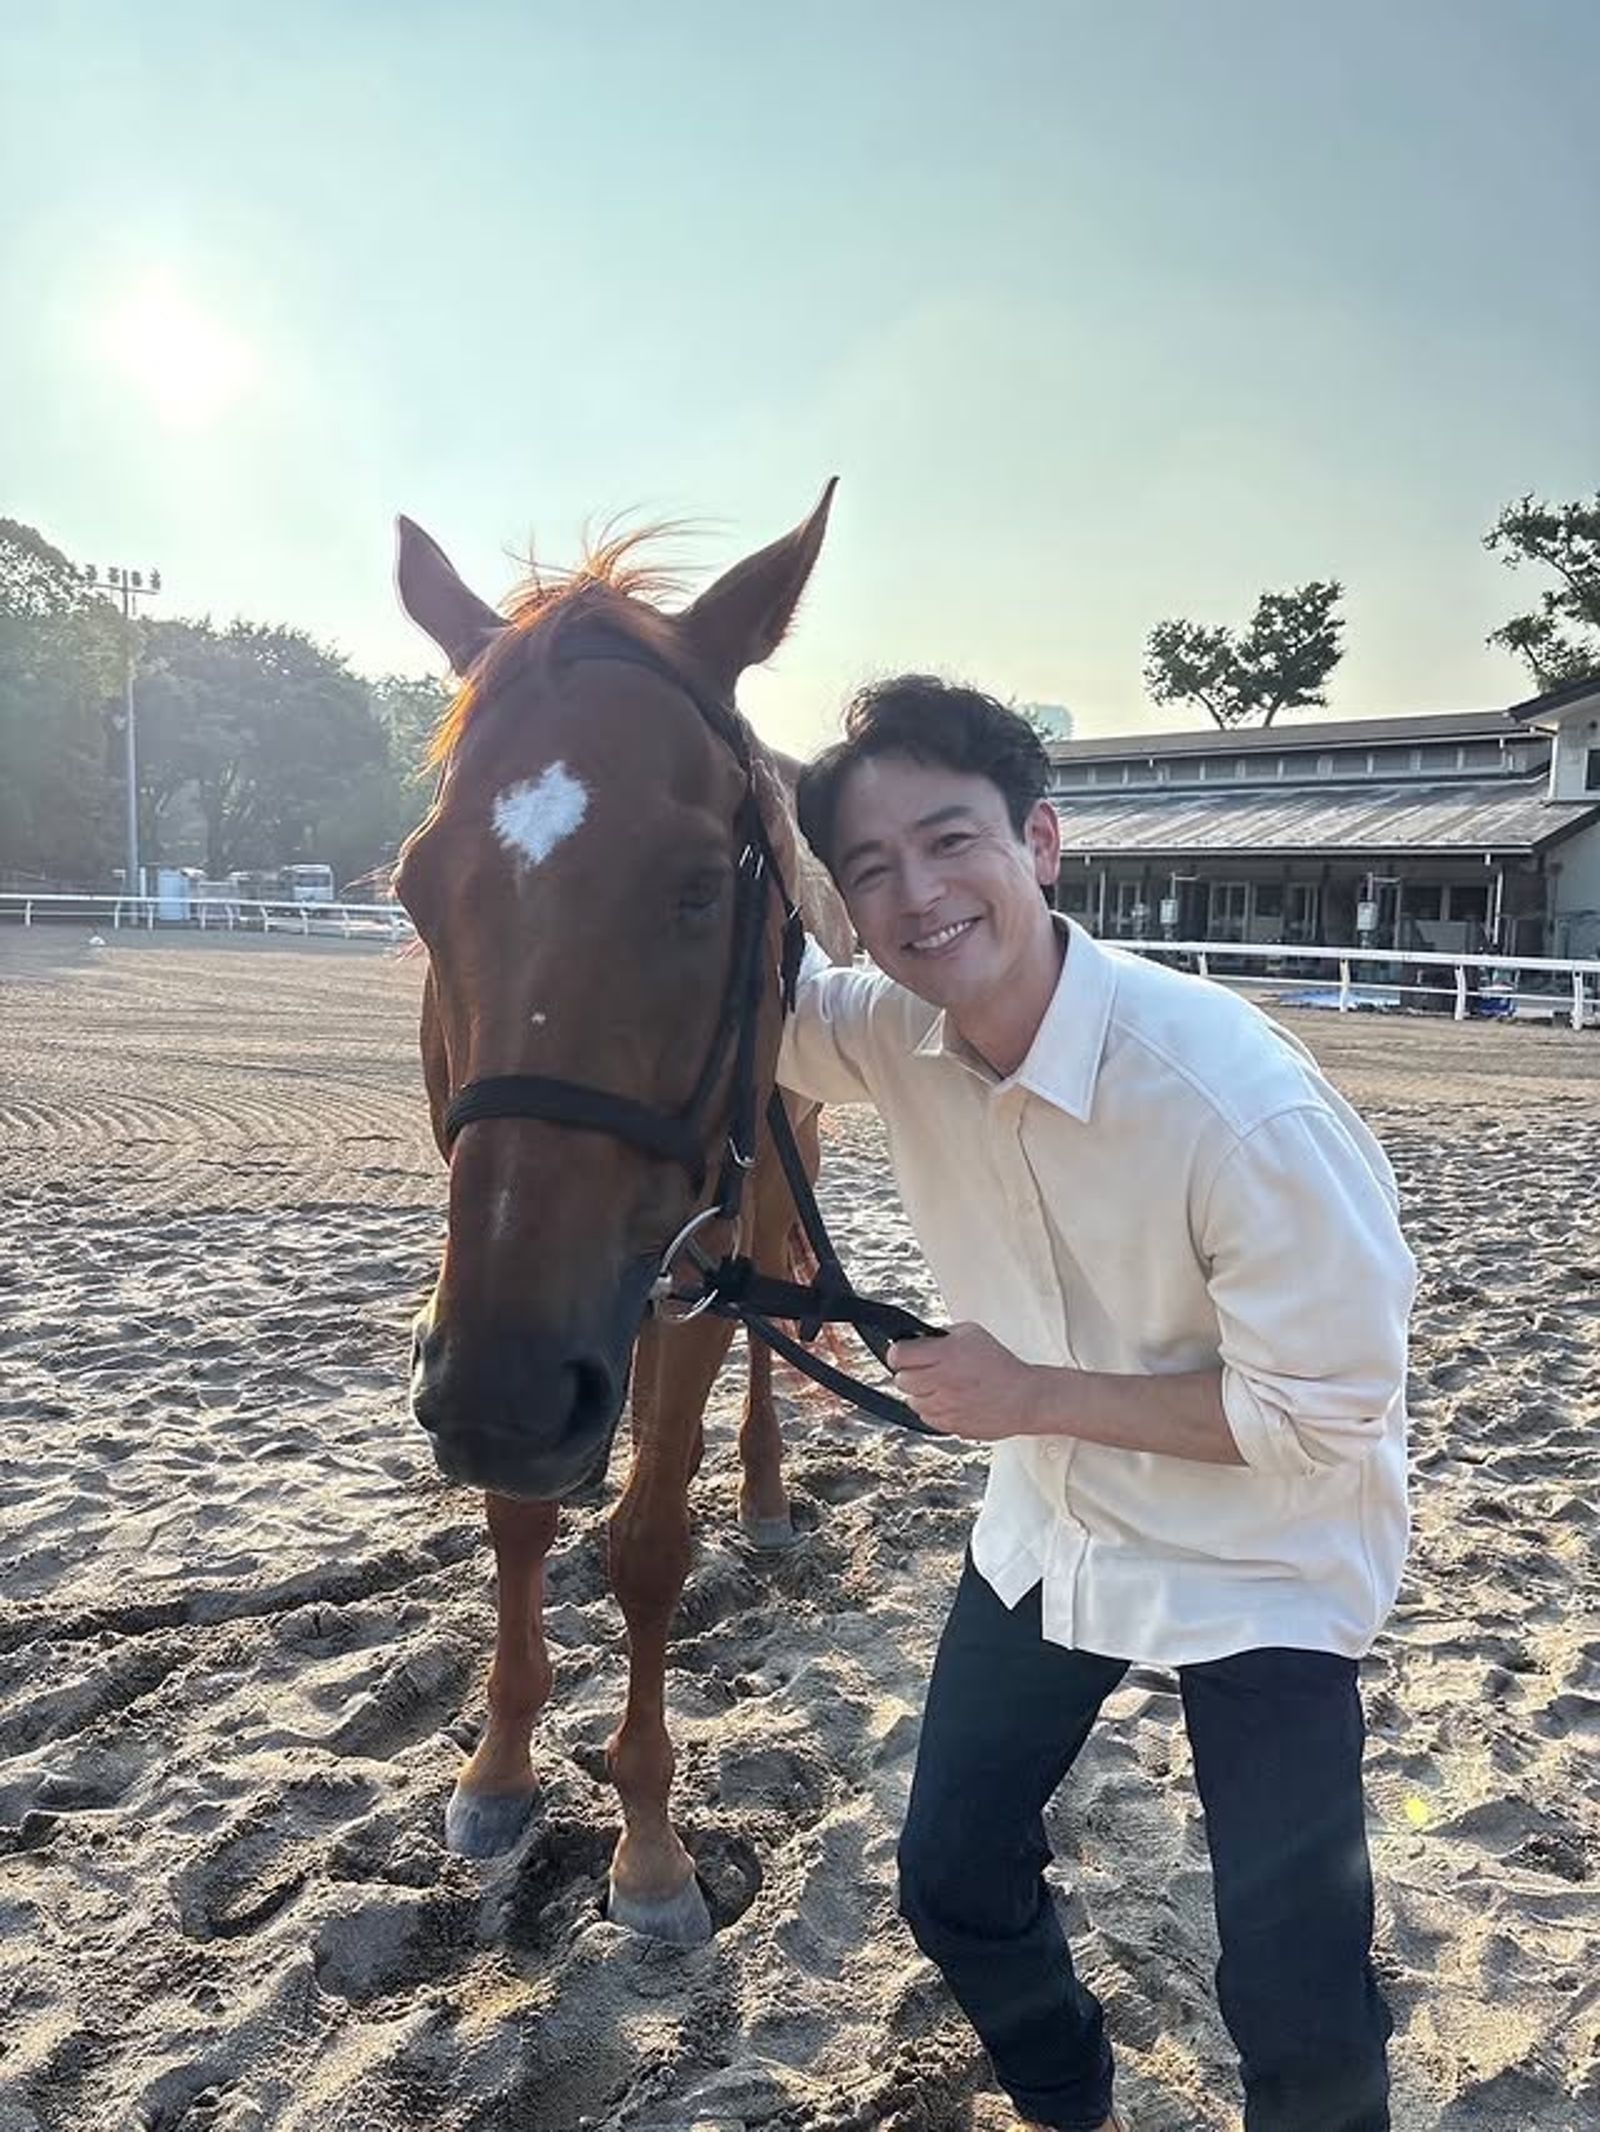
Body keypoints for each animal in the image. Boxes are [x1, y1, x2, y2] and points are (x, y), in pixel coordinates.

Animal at [391, 486, 852, 1945]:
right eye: (417, 889)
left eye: (700, 886)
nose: (502, 1395)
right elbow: (519, 1522)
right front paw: (497, 1768)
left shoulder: (700, 1262)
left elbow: (649, 1545)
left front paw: (648, 1842)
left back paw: (760, 1486)